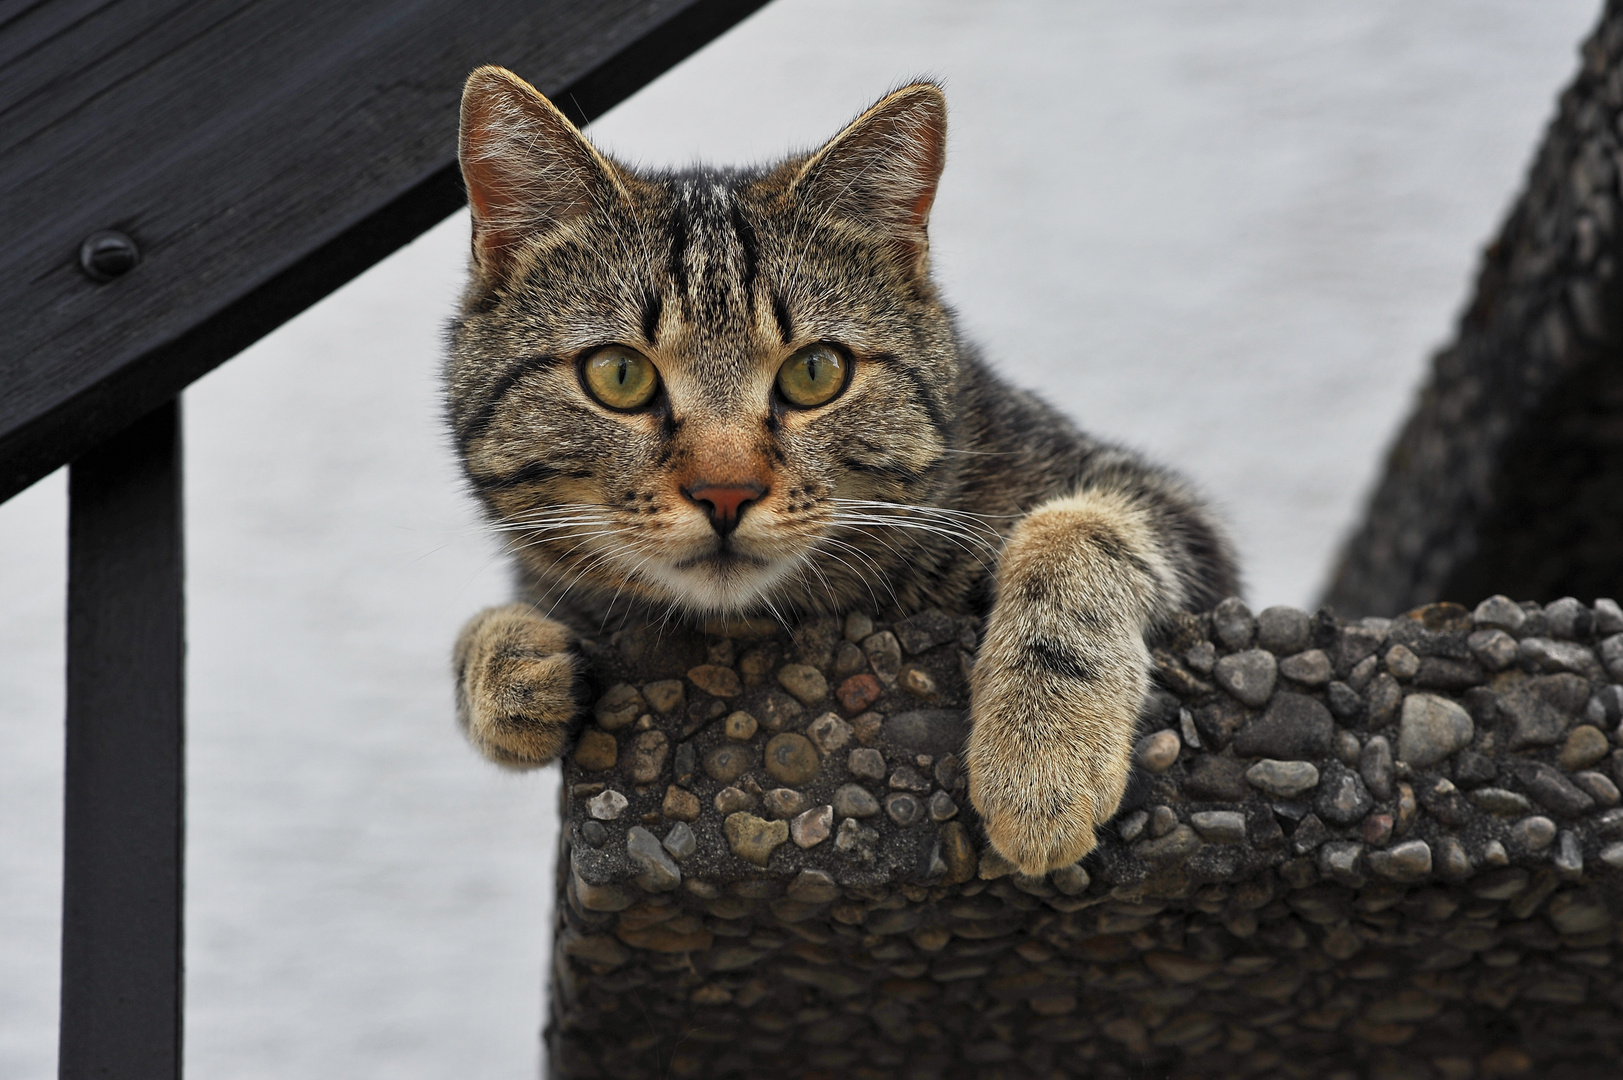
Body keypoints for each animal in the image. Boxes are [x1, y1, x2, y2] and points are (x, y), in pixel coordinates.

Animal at [438, 65, 1233, 876]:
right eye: (618, 374)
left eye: (816, 372)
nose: (725, 492)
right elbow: (482, 630)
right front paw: (507, 669)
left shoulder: (1172, 516)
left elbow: (1075, 531)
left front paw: (1041, 757)